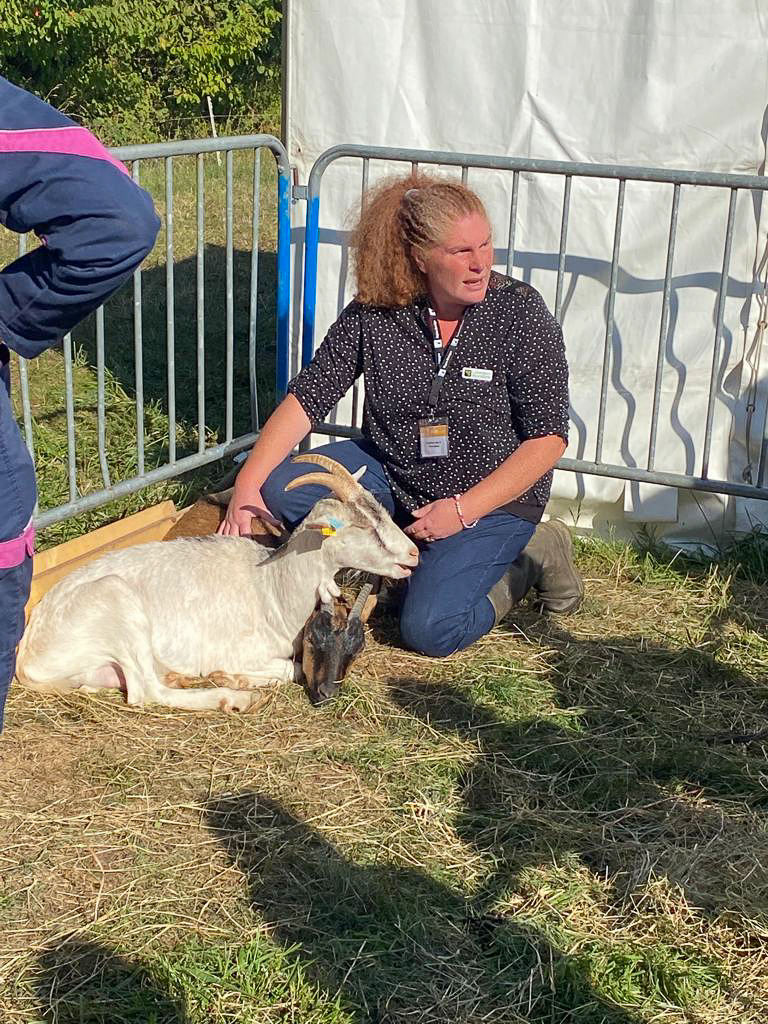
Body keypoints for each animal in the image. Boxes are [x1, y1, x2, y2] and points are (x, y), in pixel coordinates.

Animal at [15, 456, 421, 712]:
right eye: (365, 526)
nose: (414, 553)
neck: (271, 587)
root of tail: (30, 657)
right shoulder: (241, 649)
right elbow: (290, 669)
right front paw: (234, 679)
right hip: (117, 605)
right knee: (146, 692)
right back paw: (231, 698)